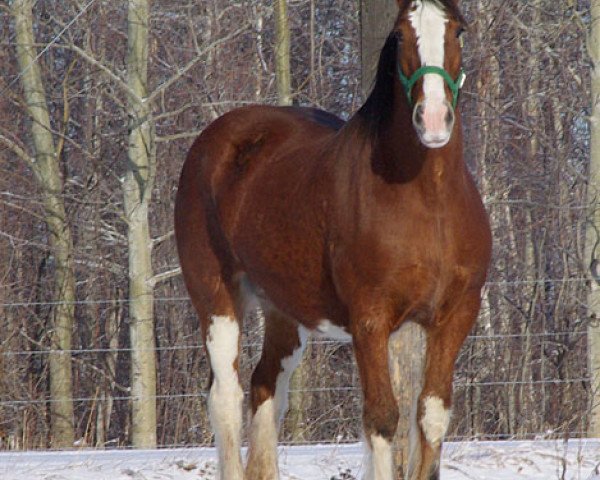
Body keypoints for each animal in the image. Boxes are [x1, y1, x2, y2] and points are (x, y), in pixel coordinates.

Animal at [175, 0, 492, 480]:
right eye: (400, 34)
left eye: (458, 30)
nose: (434, 119)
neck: (429, 202)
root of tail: (216, 139)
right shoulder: (370, 320)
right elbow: (382, 418)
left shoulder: (455, 316)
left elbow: (432, 415)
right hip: (217, 300)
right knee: (226, 398)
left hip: (284, 312)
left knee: (266, 388)